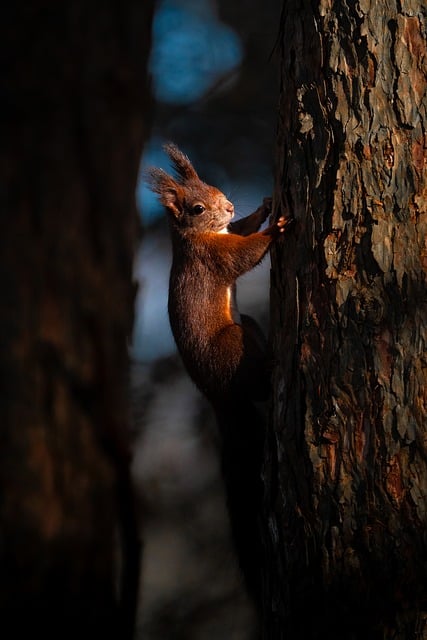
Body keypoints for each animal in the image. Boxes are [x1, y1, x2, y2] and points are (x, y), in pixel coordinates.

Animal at [146, 143, 292, 613]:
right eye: (196, 208)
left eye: (216, 189)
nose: (228, 205)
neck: (195, 237)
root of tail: (216, 397)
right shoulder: (213, 259)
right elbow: (244, 254)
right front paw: (275, 230)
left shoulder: (226, 235)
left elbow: (242, 231)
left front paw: (262, 209)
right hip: (232, 344)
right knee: (256, 383)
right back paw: (271, 367)